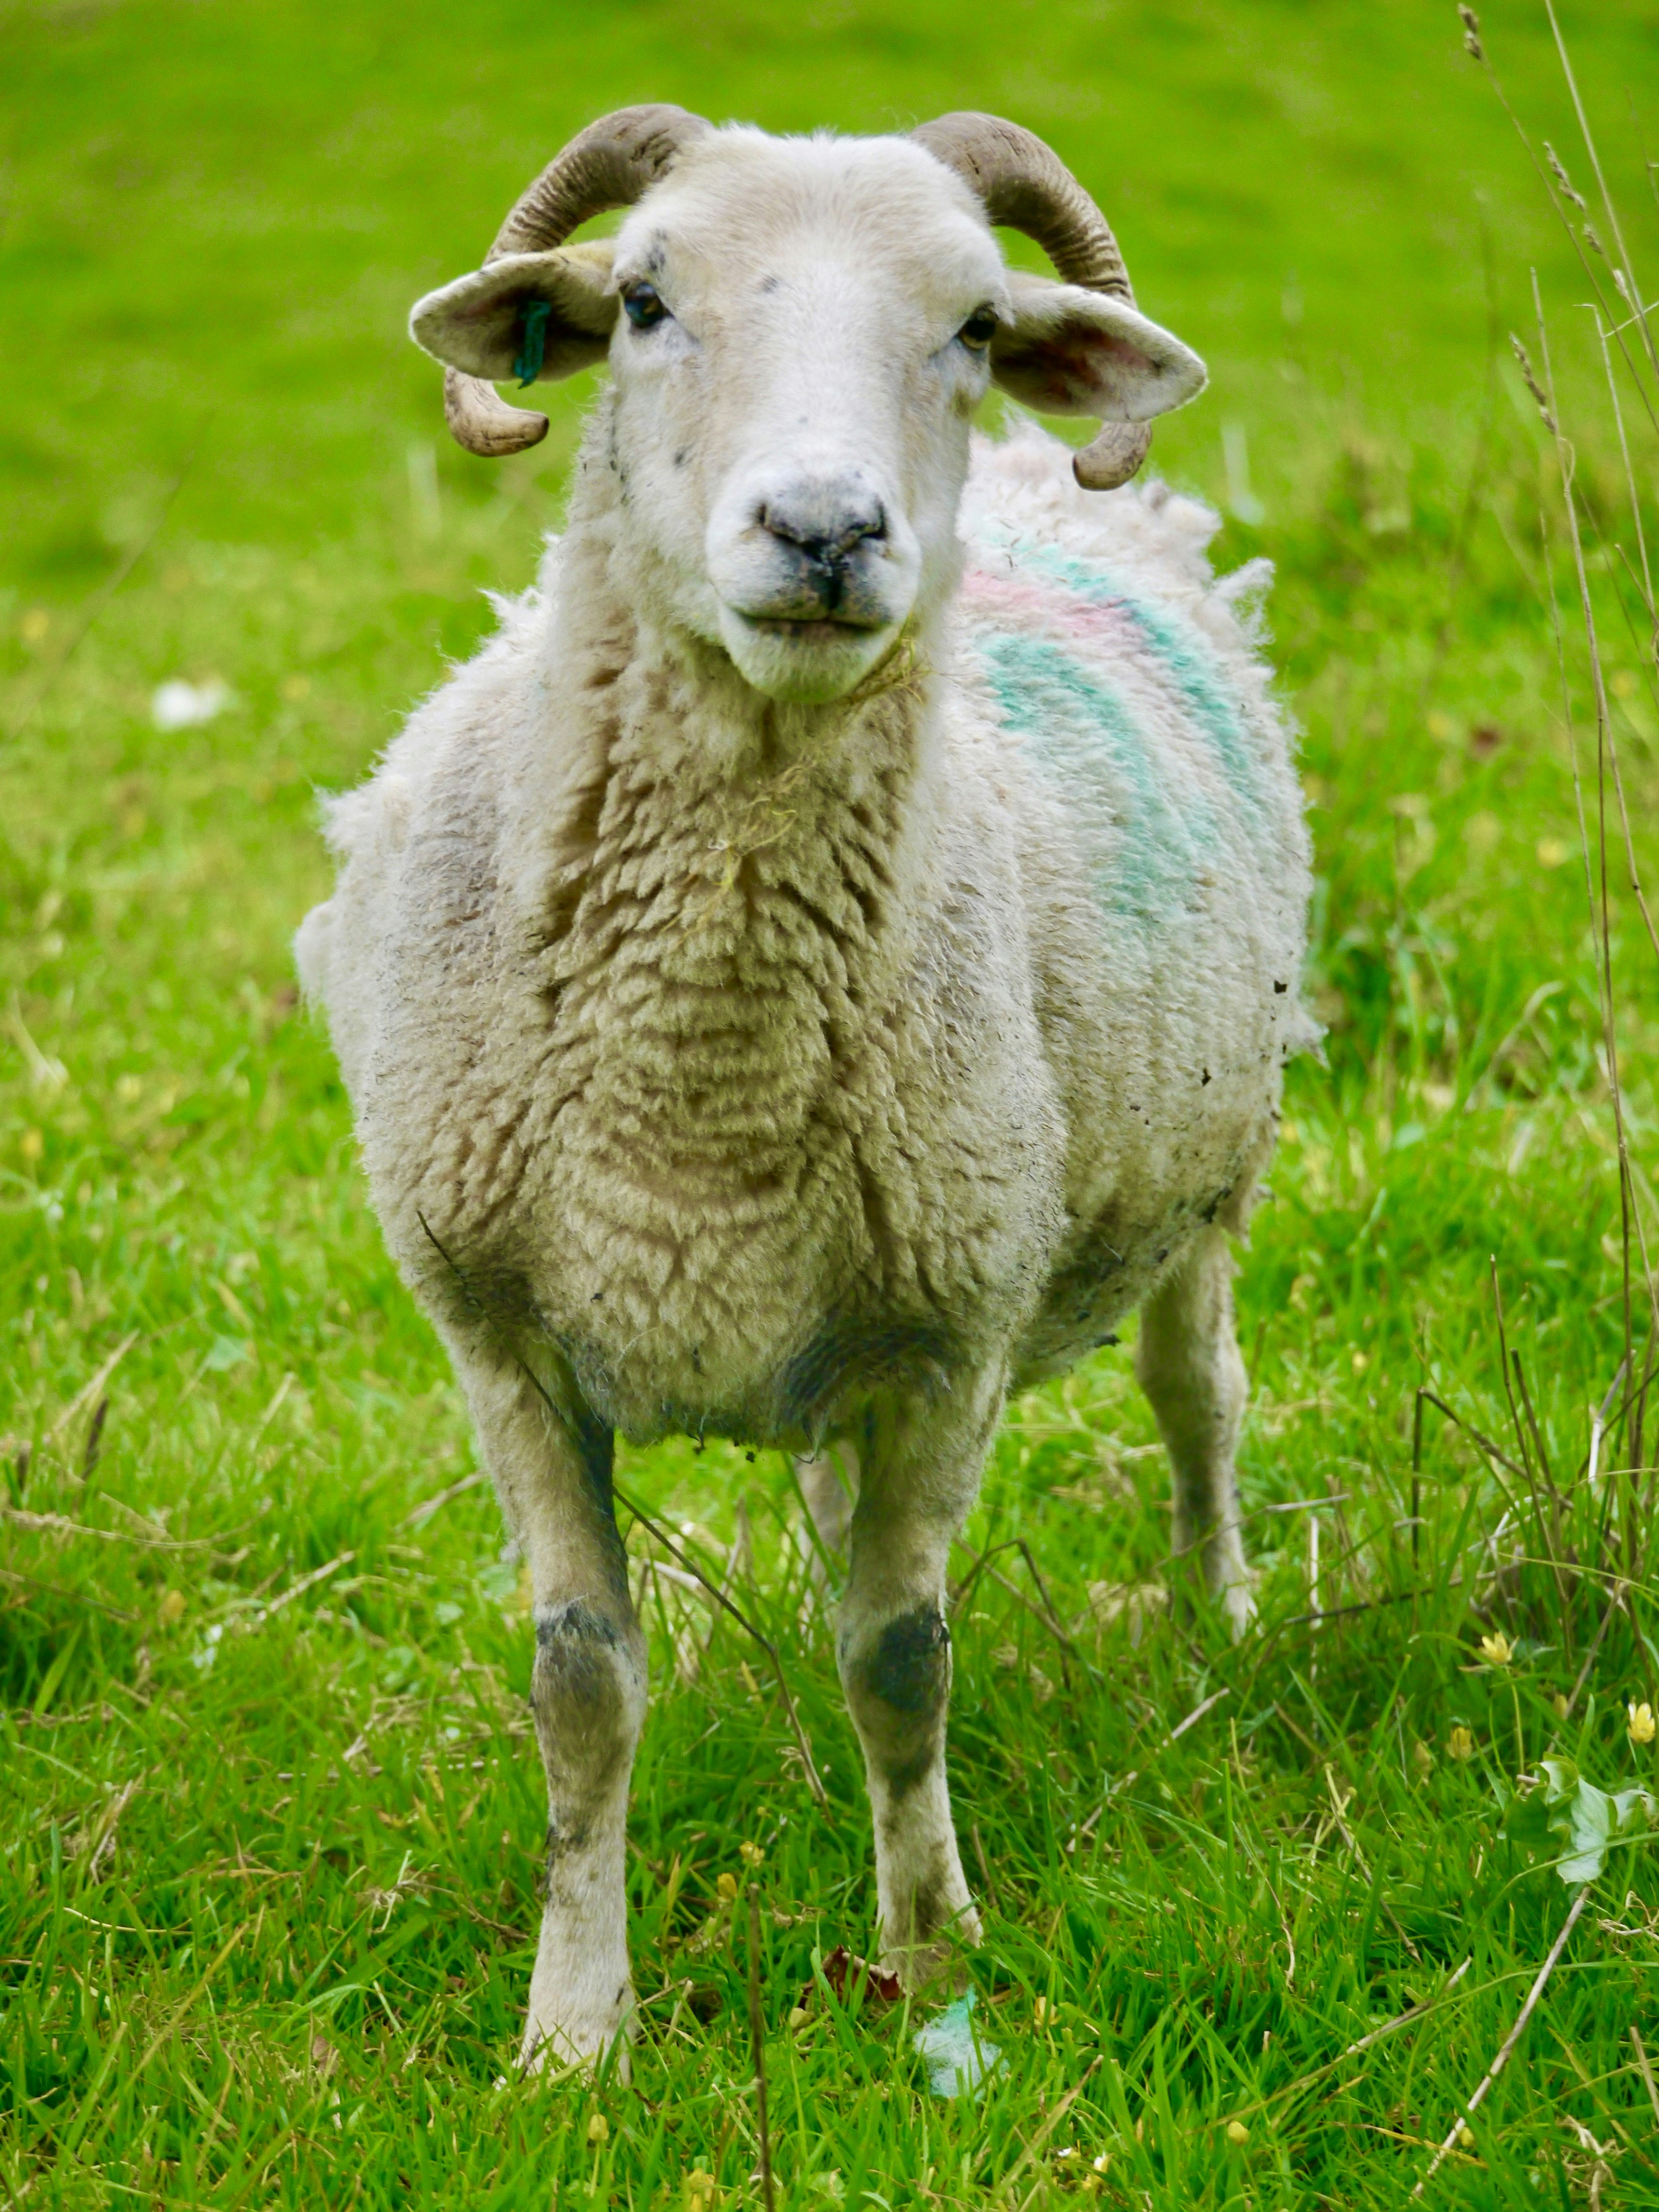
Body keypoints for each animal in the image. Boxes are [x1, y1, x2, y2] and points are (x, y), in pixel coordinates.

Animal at [295, 105, 1315, 2075]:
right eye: (641, 297)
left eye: (979, 326)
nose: (827, 528)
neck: (695, 1076)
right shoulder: (503, 1337)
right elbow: (582, 1682)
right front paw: (574, 2031)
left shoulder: (951, 1332)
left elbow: (898, 1660)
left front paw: (931, 1959)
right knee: (848, 1509)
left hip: (1205, 1169)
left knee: (1197, 1395)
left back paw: (1222, 1616)